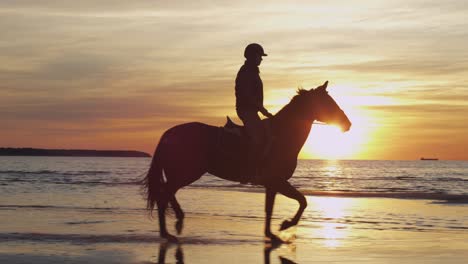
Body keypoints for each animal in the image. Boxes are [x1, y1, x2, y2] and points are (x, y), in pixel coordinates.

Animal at [143, 81, 352, 243]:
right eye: (328, 103)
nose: (348, 124)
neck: (282, 135)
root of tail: (169, 134)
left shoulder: (272, 184)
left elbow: (271, 208)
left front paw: (272, 233)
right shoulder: (277, 181)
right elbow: (302, 201)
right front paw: (286, 225)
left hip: (181, 174)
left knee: (167, 194)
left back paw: (175, 222)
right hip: (186, 173)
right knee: (164, 195)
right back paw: (169, 230)